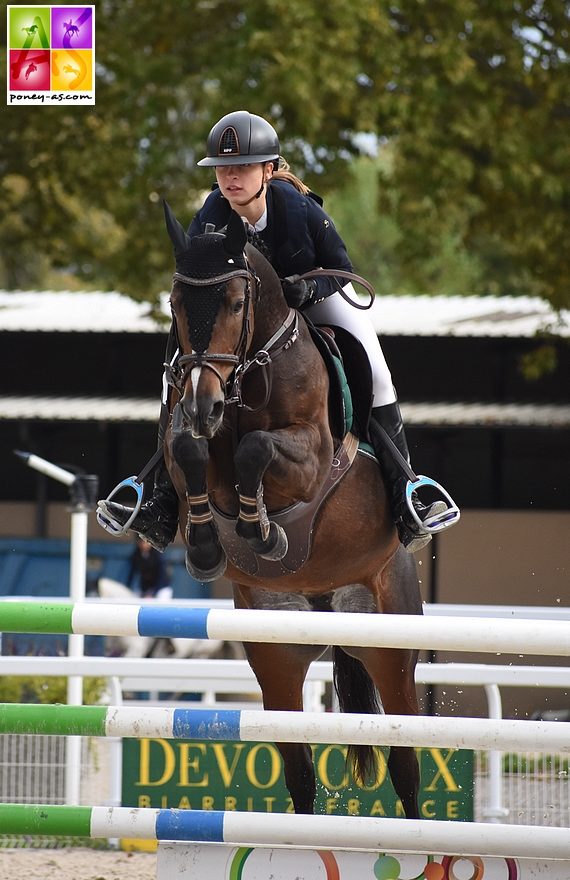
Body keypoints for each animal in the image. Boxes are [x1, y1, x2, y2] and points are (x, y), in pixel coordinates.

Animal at [160, 201, 422, 820]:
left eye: (236, 303)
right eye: (176, 304)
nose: (203, 405)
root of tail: (326, 605)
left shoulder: (310, 458)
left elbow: (256, 451)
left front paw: (262, 532)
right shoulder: (188, 439)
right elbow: (190, 450)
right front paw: (207, 547)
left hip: (391, 647)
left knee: (406, 767)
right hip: (276, 656)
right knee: (300, 775)